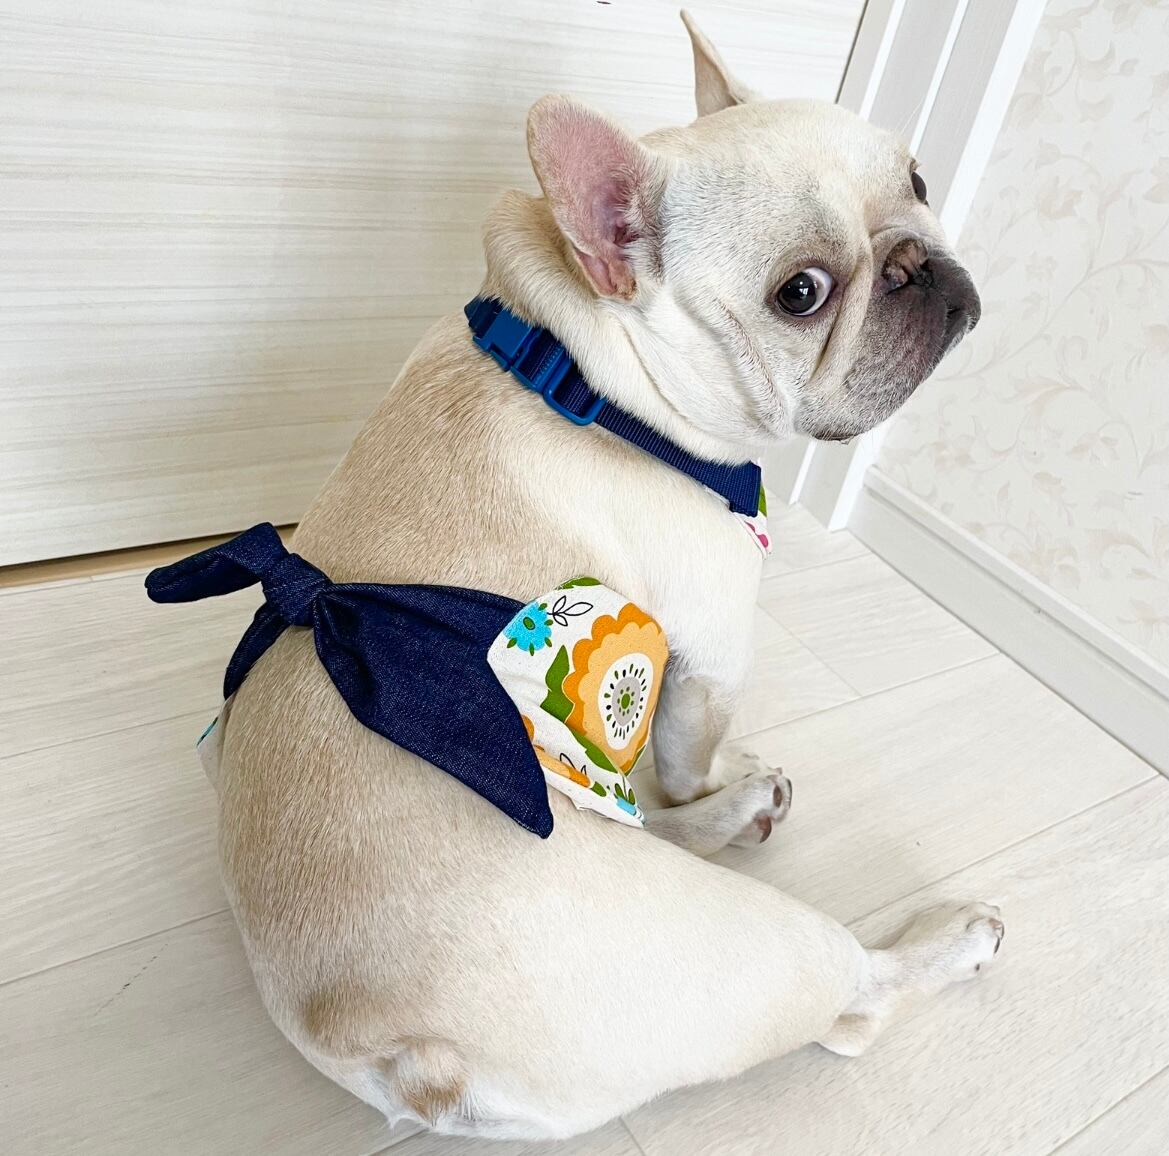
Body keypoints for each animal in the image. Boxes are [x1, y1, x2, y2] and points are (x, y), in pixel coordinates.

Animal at [203, 12, 995, 1142]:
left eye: (919, 180)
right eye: (799, 294)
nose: (919, 261)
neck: (581, 372)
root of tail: (386, 1046)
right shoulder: (713, 653)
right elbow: (686, 751)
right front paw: (712, 774)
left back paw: (734, 817)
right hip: (737, 947)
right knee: (852, 1005)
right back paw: (939, 935)